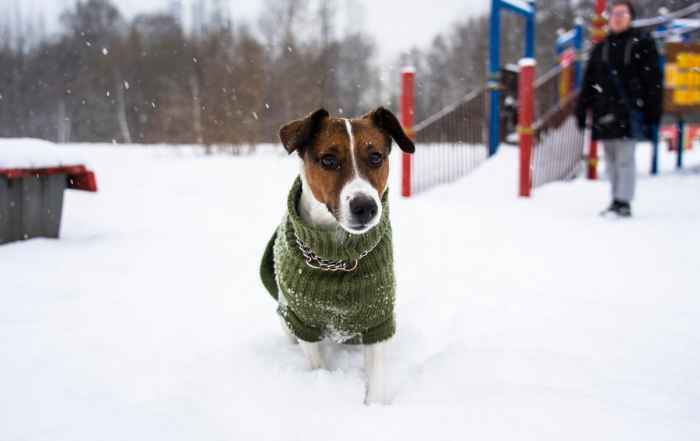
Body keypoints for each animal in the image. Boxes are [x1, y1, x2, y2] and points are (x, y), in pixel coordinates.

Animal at [262, 105, 416, 402]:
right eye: (328, 160)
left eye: (376, 157)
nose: (365, 206)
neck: (338, 255)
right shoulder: (303, 322)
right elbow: (319, 364)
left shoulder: (379, 321)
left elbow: (376, 381)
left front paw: (373, 407)